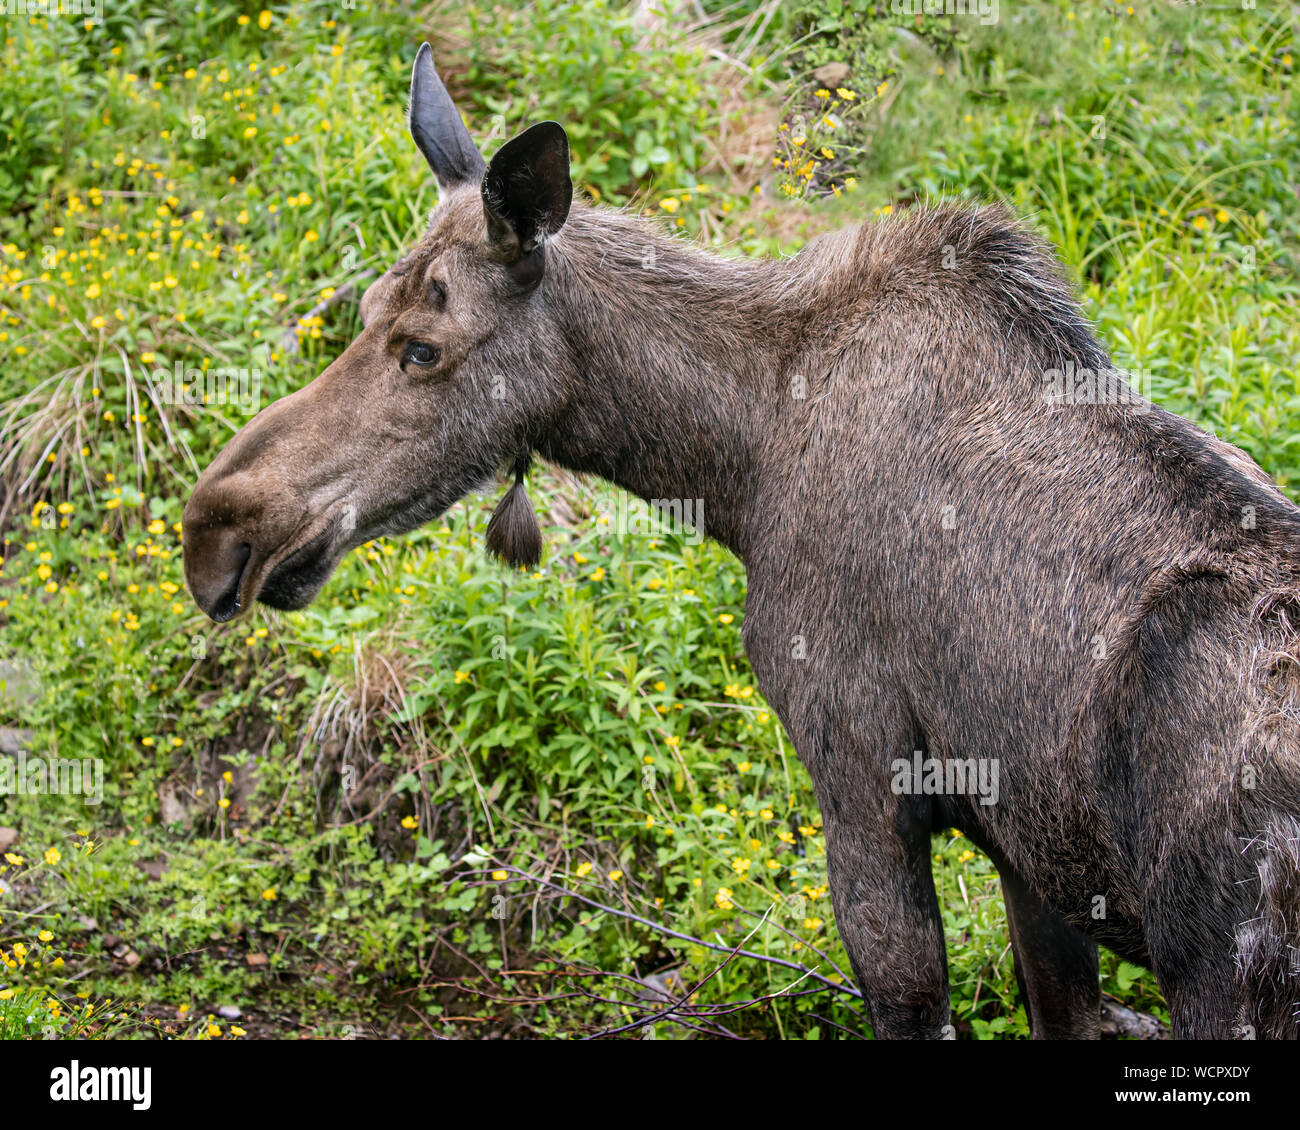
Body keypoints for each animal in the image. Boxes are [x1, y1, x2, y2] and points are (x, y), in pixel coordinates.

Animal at [182, 44, 1300, 1039]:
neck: (739, 469)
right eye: (367, 307)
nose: (217, 529)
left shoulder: (863, 783)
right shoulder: (1030, 854)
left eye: (423, 346)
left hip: (1227, 977)